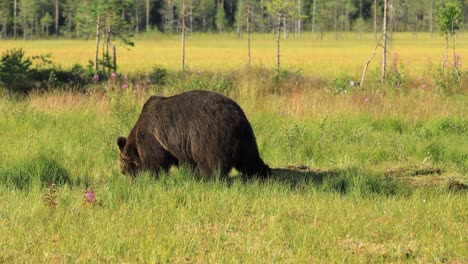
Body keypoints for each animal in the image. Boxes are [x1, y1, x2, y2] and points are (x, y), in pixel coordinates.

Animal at [116, 89, 270, 178]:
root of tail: (236, 116)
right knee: (250, 159)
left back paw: (209, 179)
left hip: (208, 136)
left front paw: (151, 176)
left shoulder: (153, 137)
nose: (123, 172)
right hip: (246, 136)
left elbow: (155, 162)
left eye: (123, 161)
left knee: (212, 164)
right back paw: (262, 174)